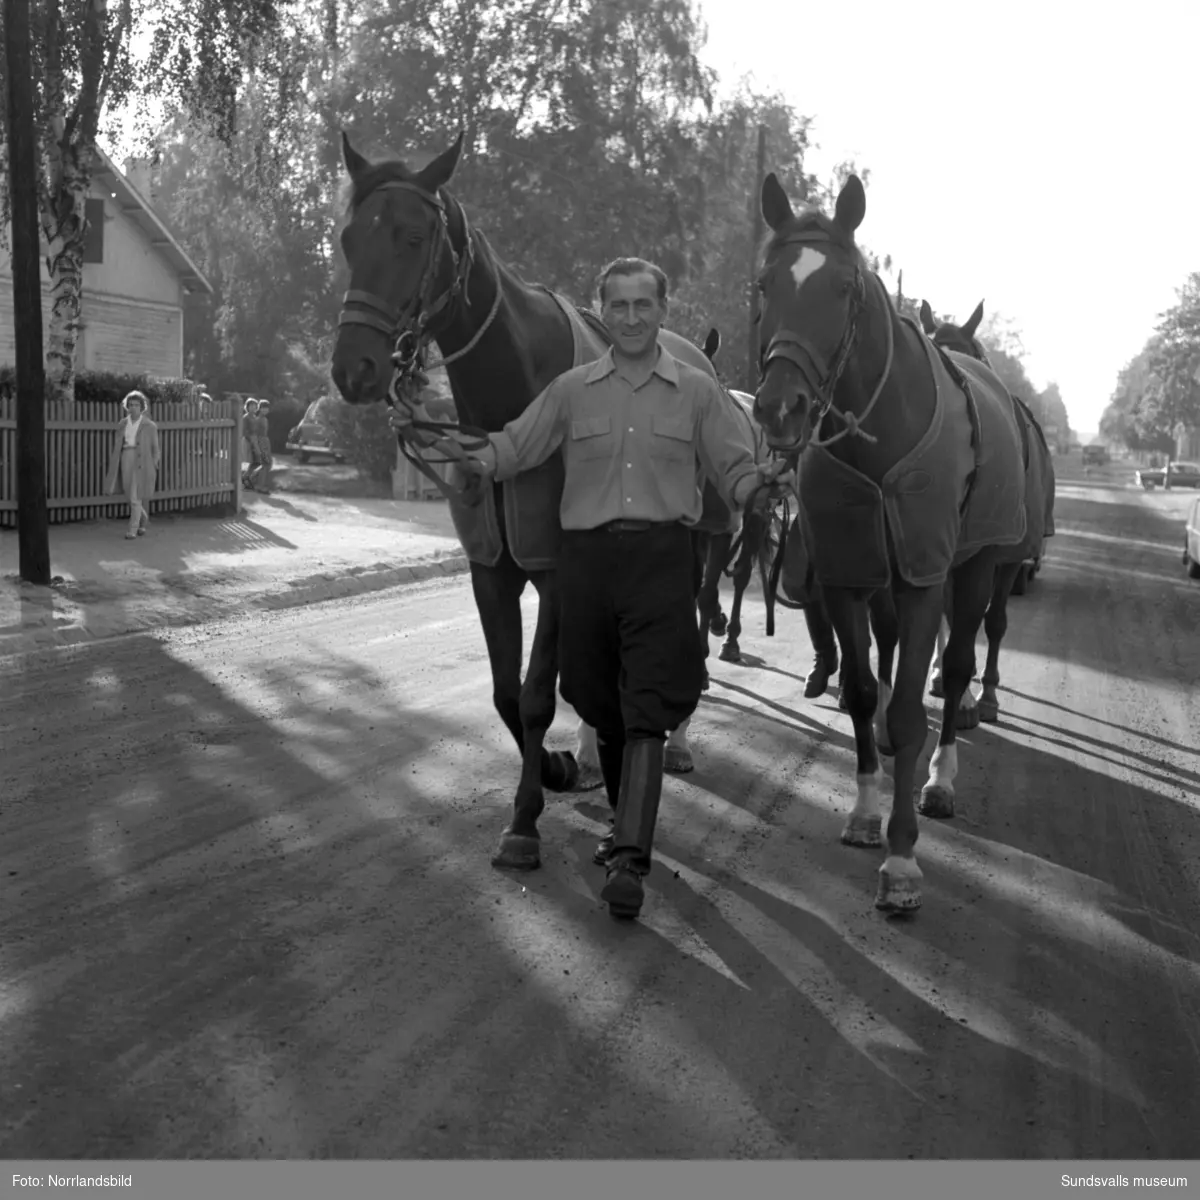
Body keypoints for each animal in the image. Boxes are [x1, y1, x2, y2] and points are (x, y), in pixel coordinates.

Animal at [753, 174, 1027, 912]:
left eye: (844, 287)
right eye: (765, 283)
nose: (779, 408)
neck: (878, 433)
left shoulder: (925, 573)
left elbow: (907, 711)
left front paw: (902, 858)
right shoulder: (849, 573)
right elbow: (861, 691)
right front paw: (865, 812)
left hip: (977, 566)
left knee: (957, 666)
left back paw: (941, 778)